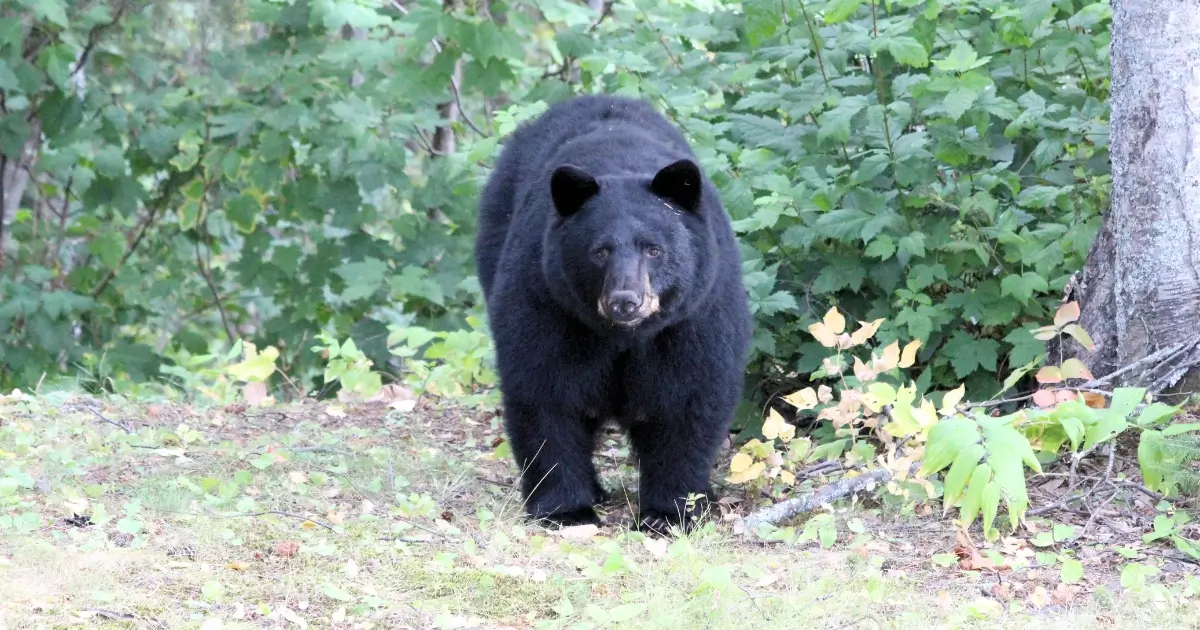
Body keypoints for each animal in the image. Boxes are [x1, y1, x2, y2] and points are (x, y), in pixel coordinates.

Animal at [470, 93, 744, 532]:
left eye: (654, 249)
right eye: (600, 251)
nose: (625, 300)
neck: (624, 337)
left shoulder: (695, 317)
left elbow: (688, 399)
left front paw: (670, 512)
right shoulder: (548, 305)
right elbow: (545, 392)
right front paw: (566, 509)